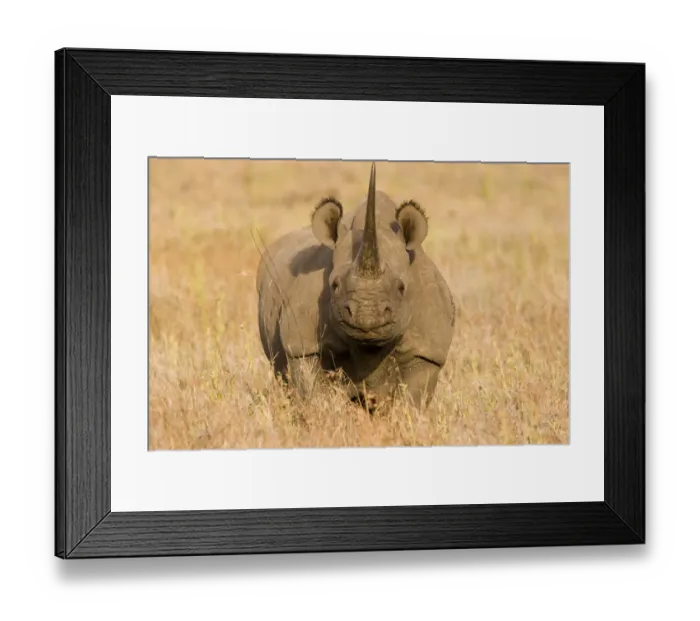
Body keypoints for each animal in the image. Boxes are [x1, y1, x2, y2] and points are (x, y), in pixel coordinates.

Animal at [256, 162, 455, 411]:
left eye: (402, 288)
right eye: (334, 285)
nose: (366, 315)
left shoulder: (427, 351)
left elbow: (410, 401)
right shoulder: (302, 344)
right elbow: (313, 393)